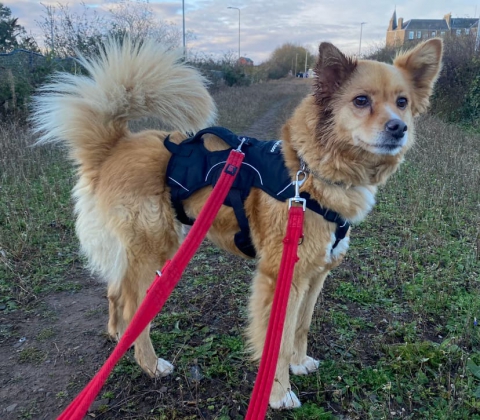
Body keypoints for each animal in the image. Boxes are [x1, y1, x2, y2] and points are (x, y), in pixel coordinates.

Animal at [31, 37, 442, 408]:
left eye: (402, 102)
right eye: (361, 101)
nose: (398, 128)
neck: (310, 174)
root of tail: (115, 145)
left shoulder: (316, 275)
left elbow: (300, 326)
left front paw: (299, 362)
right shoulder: (282, 276)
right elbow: (276, 341)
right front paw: (278, 394)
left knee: (116, 293)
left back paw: (120, 338)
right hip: (154, 249)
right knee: (136, 309)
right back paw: (150, 364)